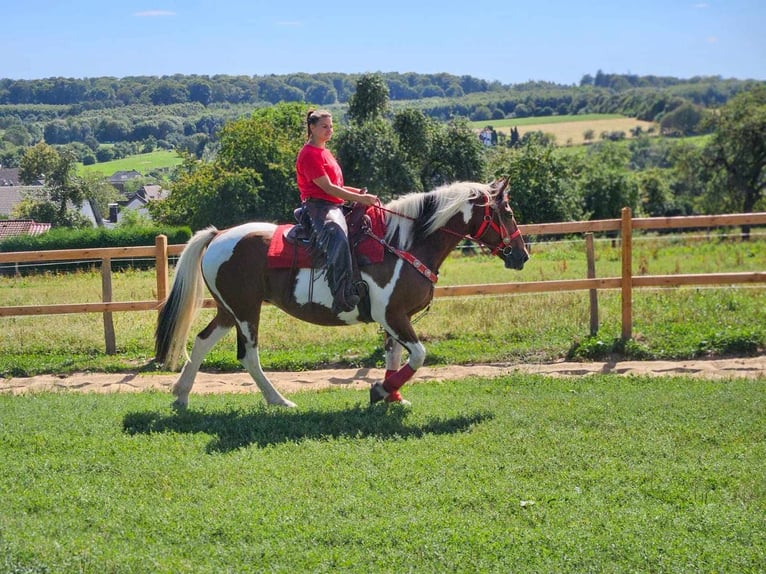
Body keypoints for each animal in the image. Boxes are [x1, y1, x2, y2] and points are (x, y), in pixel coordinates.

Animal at [156, 180, 528, 410]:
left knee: (202, 341)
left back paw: (181, 395)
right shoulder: (392, 315)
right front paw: (380, 391)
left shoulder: (395, 318)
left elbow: (395, 357)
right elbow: (419, 356)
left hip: (229, 310)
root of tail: (219, 235)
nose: (522, 255)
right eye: (508, 213)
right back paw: (279, 401)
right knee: (248, 356)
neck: (403, 243)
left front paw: (393, 396)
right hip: (246, 311)